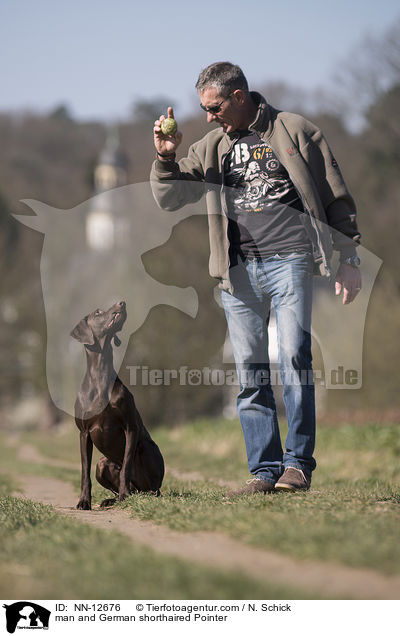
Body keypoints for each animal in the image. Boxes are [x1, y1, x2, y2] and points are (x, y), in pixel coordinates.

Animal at [70, 300, 164, 510]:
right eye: (97, 313)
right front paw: (84, 501)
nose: (122, 302)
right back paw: (109, 500)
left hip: (147, 448)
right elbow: (84, 471)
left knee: (151, 489)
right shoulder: (84, 433)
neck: (100, 376)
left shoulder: (131, 427)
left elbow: (126, 467)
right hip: (102, 464)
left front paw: (124, 495)